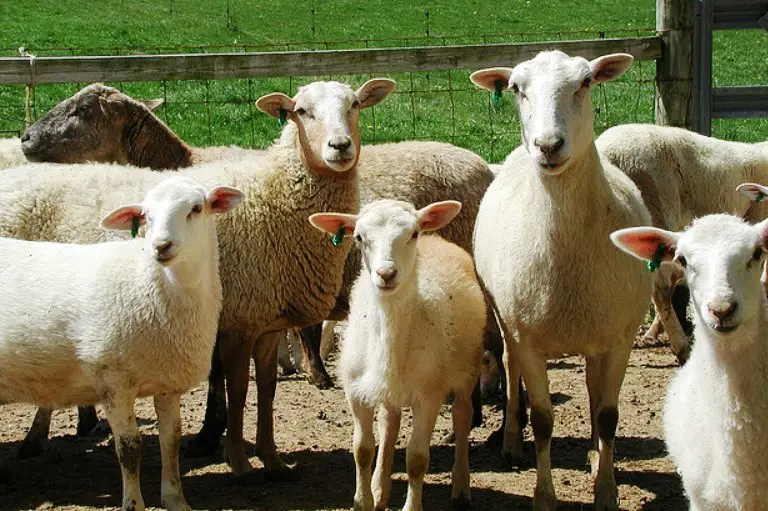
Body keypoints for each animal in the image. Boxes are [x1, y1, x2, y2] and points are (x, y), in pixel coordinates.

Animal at [0, 175, 243, 511]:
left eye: (196, 208)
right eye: (146, 216)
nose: (161, 246)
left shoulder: (167, 382)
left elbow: (171, 442)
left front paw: (175, 499)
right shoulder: (113, 381)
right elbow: (129, 450)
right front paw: (133, 504)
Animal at [309, 199, 485, 511]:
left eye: (412, 233)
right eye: (359, 237)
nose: (386, 274)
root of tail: (436, 238)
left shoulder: (428, 395)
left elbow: (416, 459)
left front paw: (411, 506)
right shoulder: (356, 391)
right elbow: (362, 449)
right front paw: (364, 501)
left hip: (468, 370)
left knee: (462, 416)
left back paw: (461, 487)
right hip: (389, 387)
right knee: (390, 424)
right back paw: (380, 488)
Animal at [470, 51, 653, 510]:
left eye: (586, 83)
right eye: (516, 88)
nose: (549, 146)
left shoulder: (620, 337)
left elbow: (608, 415)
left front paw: (606, 491)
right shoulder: (527, 338)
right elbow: (543, 420)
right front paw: (544, 496)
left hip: (595, 331)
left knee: (592, 388)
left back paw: (593, 453)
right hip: (504, 317)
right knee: (508, 364)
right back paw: (511, 444)